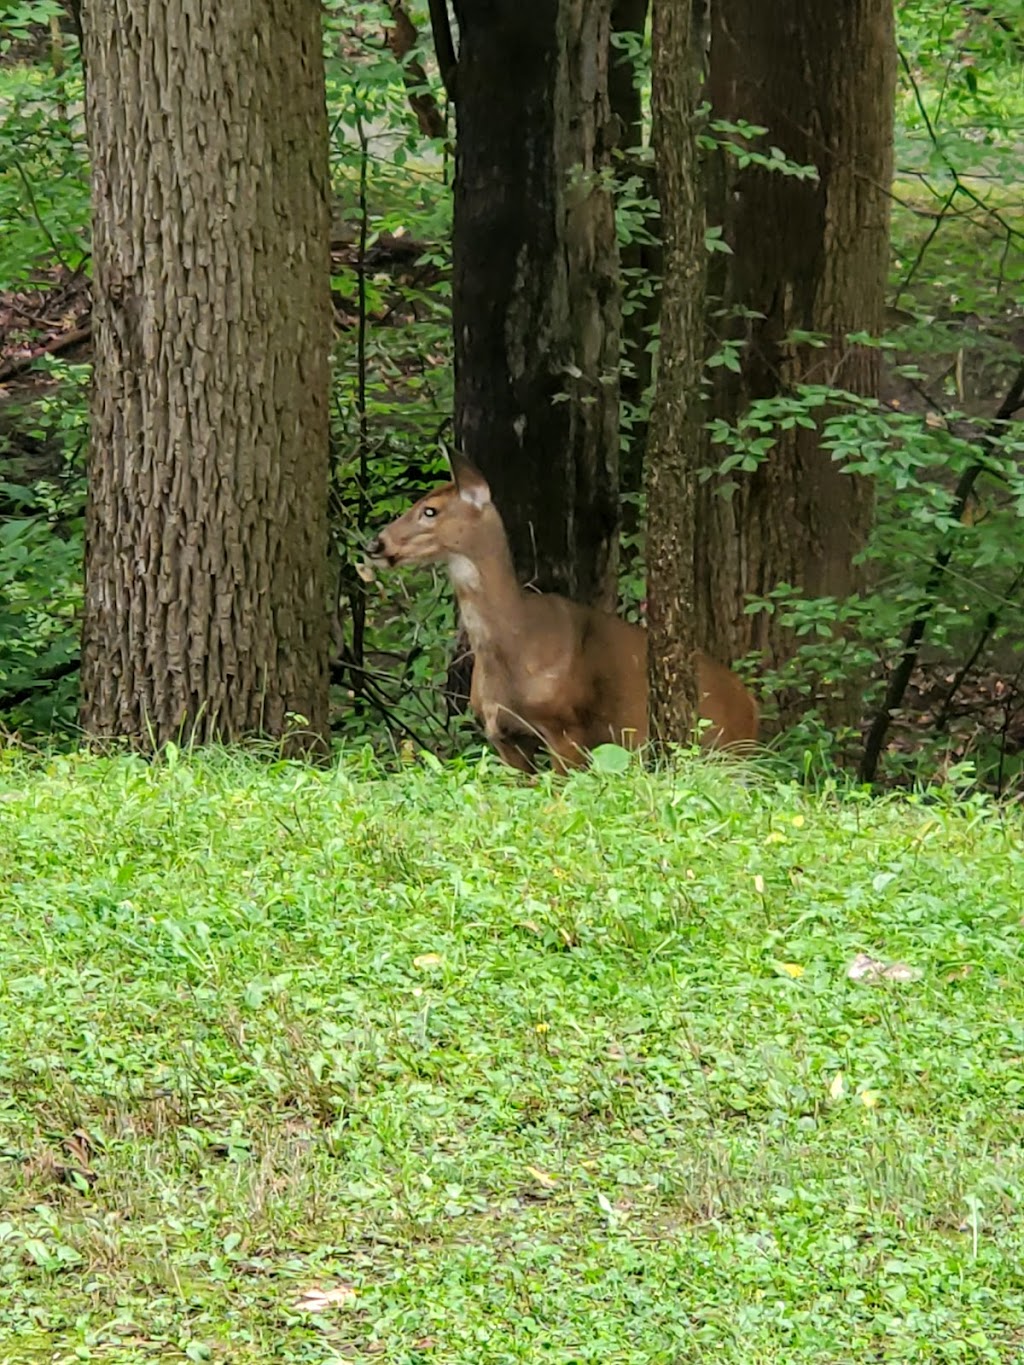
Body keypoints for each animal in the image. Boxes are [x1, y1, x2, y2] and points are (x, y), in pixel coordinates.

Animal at [368, 453, 764, 775]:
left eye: (430, 511)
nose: (376, 543)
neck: (515, 646)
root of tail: (751, 704)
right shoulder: (503, 736)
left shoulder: (567, 729)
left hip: (724, 749)